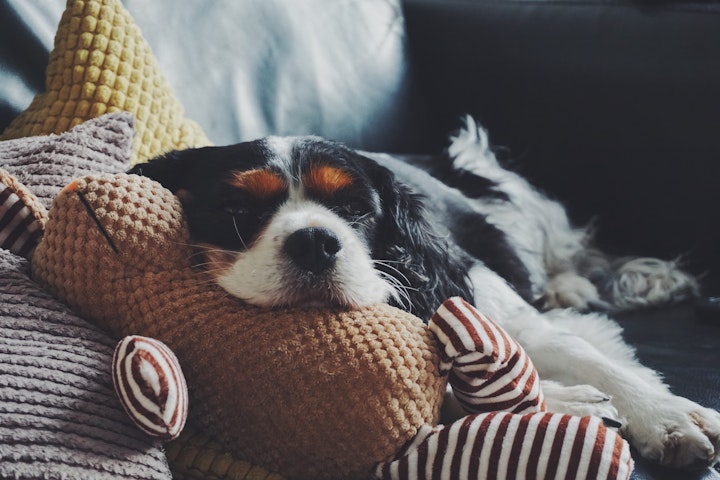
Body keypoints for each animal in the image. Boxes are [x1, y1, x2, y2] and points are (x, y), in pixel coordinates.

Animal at [131, 117, 720, 472]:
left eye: (356, 210)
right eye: (236, 212)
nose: (316, 242)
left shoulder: (477, 293)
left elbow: (583, 352)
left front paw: (666, 414)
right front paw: (567, 401)